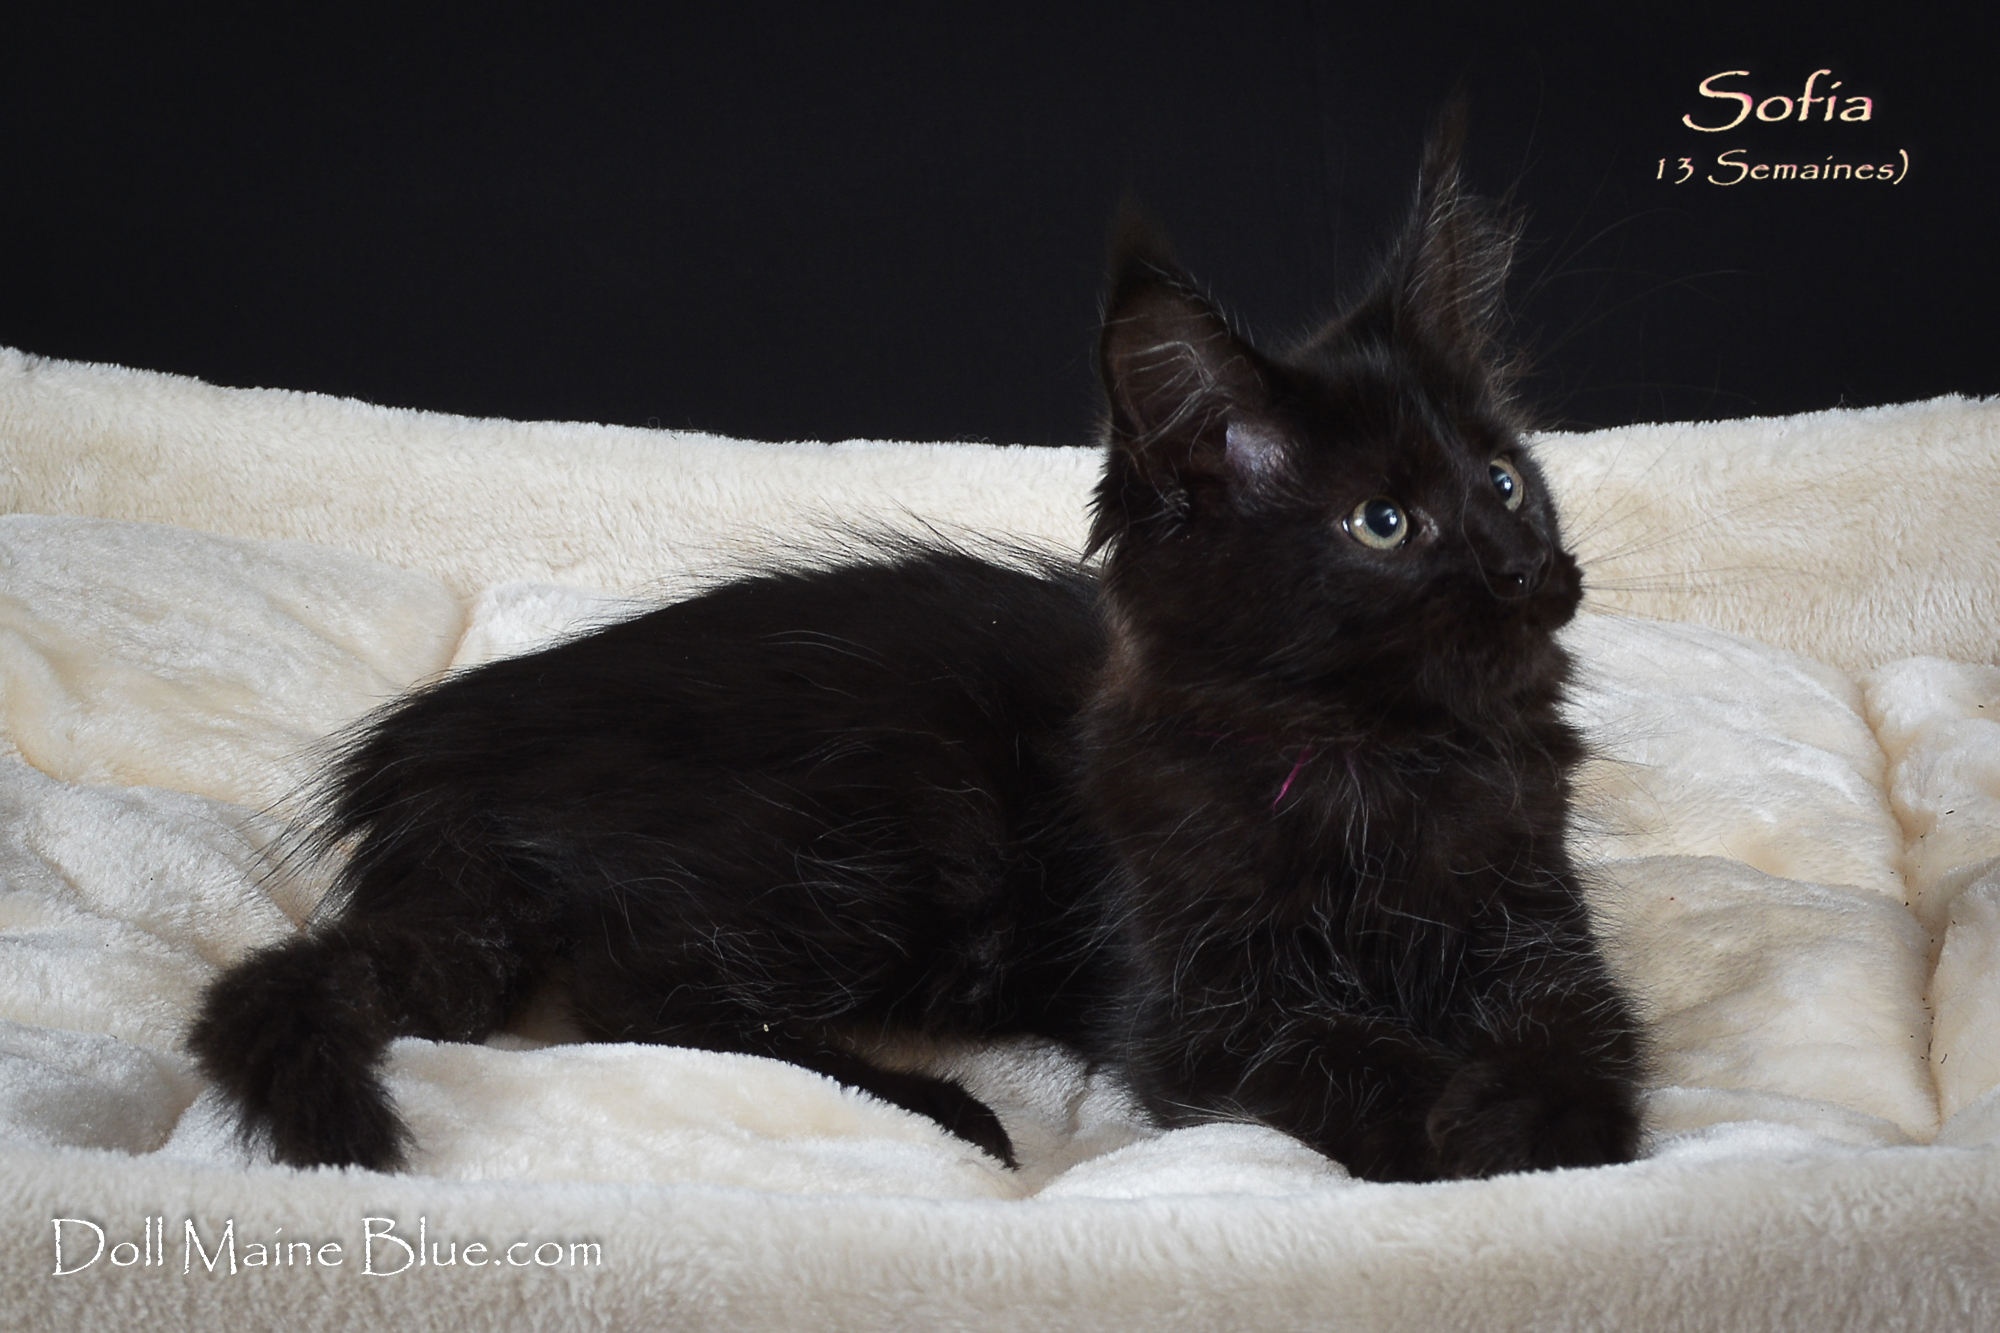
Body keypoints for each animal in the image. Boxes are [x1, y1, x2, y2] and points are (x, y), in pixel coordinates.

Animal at [189, 116, 1642, 1183]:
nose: (1529, 570)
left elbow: (1588, 1027)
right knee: (629, 991)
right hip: (888, 817)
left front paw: (1547, 1119)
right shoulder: (1197, 1007)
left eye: (1505, 482)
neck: (1377, 752)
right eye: (1382, 524)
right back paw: (944, 1111)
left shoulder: (1534, 913)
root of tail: (436, 747)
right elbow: (1343, 1051)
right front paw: (1459, 1127)